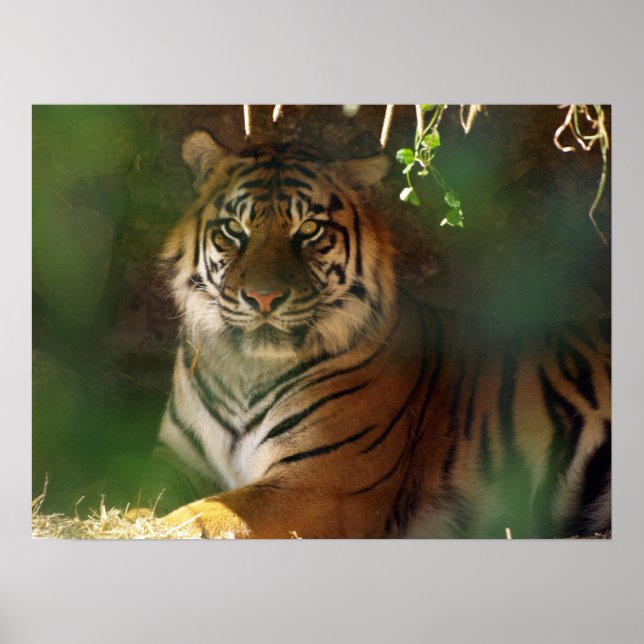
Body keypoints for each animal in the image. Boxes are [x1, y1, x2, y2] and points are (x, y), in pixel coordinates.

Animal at [154, 129, 611, 538]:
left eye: (309, 230)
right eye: (234, 229)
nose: (263, 298)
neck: (246, 370)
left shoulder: (320, 482)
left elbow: (200, 516)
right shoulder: (175, 458)